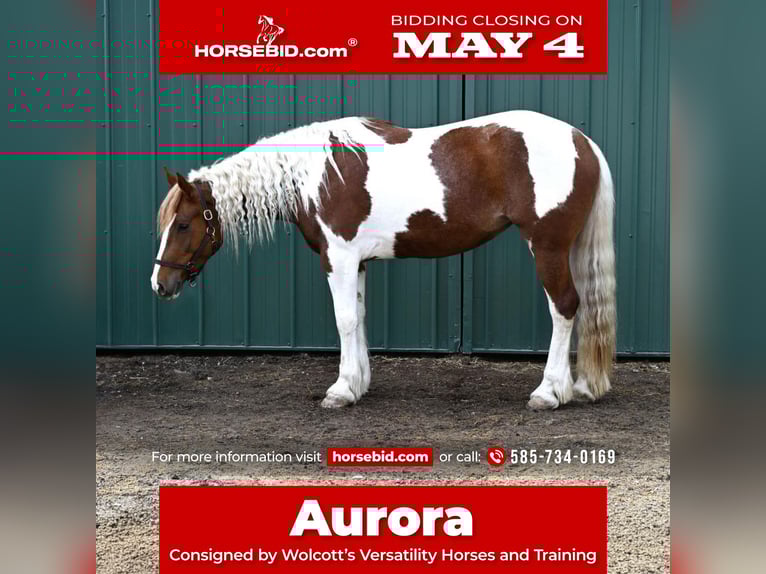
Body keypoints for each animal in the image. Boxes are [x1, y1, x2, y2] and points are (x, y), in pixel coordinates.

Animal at [151, 111, 616, 411]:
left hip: (547, 246)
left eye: (183, 224)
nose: (159, 284)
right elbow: (358, 317)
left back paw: (549, 392)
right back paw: (577, 387)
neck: (316, 175)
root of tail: (584, 142)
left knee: (565, 308)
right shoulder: (356, 262)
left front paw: (340, 390)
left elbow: (344, 320)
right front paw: (358, 383)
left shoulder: (337, 258)